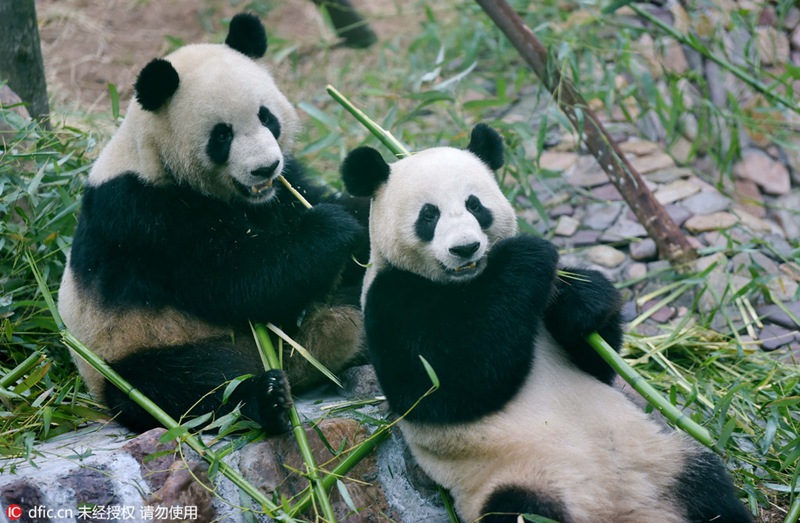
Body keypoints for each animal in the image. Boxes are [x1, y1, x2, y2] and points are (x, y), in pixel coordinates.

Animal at [58, 13, 368, 434]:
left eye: (266, 117)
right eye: (222, 135)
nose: (265, 168)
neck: (154, 155)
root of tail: (299, 360)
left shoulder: (282, 188)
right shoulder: (143, 216)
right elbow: (239, 279)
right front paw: (332, 227)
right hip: (131, 350)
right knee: (187, 387)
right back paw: (267, 398)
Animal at [340, 124, 752, 523]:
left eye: (475, 205)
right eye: (429, 216)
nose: (465, 248)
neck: (469, 283)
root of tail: (620, 510)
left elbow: (595, 359)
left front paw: (585, 298)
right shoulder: (392, 298)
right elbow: (444, 386)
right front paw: (525, 257)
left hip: (665, 459)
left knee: (712, 490)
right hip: (523, 479)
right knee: (520, 511)